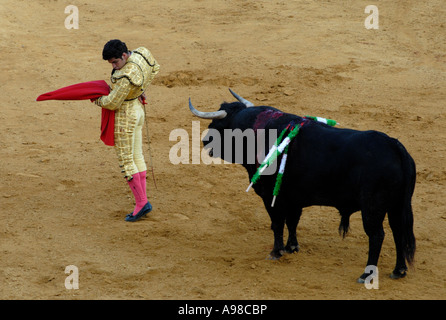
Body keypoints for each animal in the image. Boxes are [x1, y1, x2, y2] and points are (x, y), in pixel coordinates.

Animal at [187, 89, 414, 282]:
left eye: (221, 125)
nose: (205, 140)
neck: (258, 132)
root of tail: (394, 145)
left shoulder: (271, 196)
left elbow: (277, 223)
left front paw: (276, 252)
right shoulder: (293, 198)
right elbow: (292, 221)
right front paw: (292, 247)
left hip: (372, 208)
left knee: (377, 236)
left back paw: (366, 274)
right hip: (397, 206)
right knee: (398, 231)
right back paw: (399, 270)